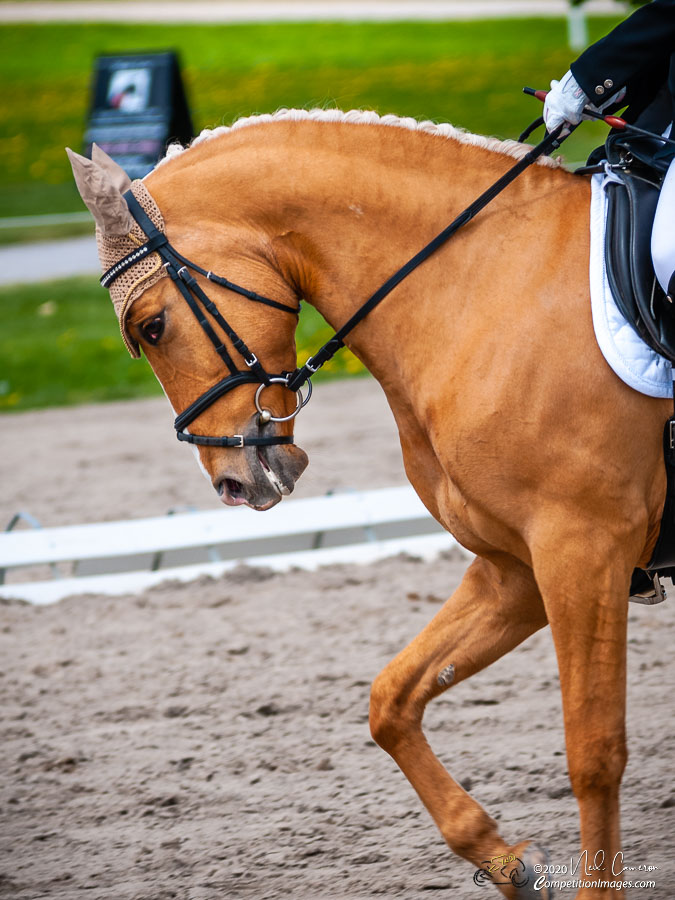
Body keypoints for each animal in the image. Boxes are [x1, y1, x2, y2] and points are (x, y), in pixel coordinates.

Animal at [66, 107, 668, 900]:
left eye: (153, 327)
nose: (232, 485)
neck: (477, 284)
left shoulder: (583, 550)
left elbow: (593, 752)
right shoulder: (517, 568)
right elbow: (391, 701)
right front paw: (511, 862)